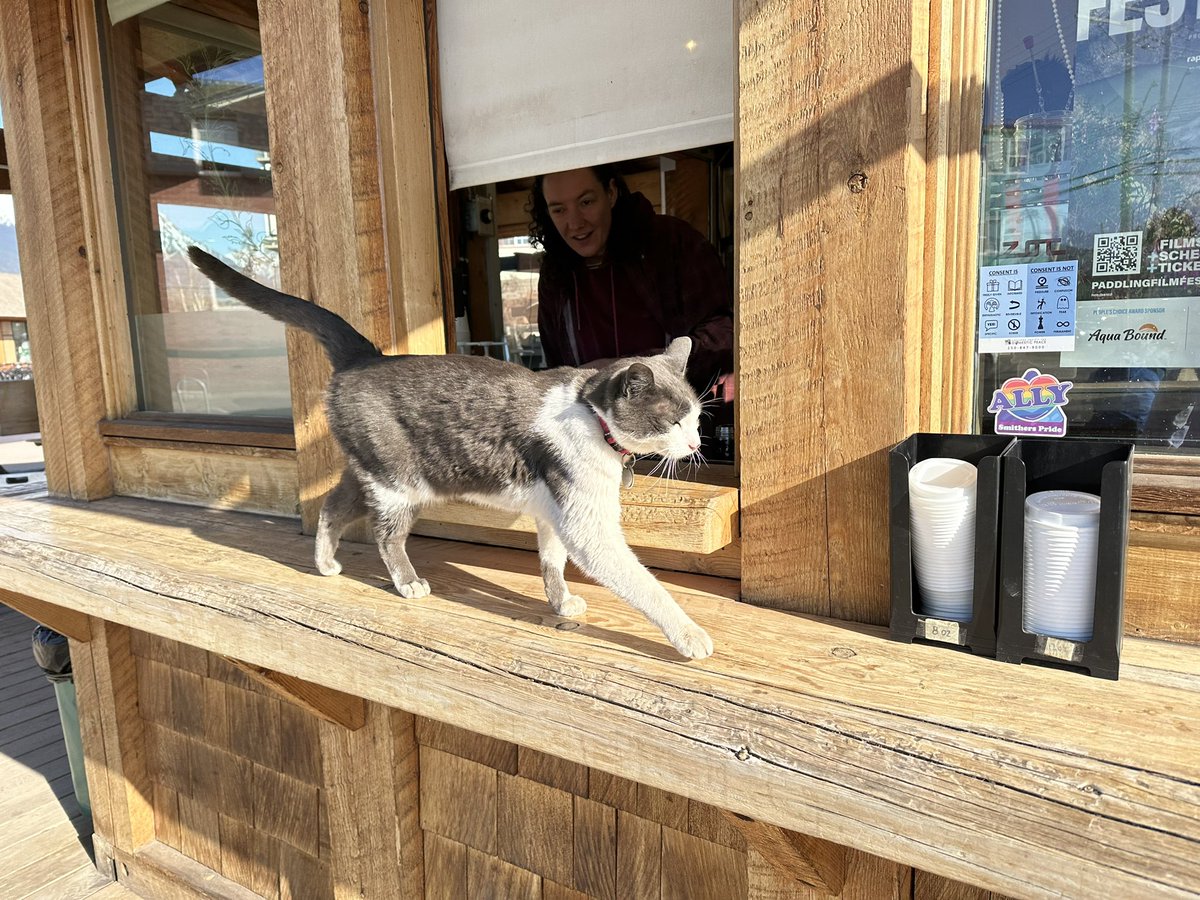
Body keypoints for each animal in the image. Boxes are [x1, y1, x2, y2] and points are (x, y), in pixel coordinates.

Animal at [187, 250, 710, 657]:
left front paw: (560, 603)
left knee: (331, 506)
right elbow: (641, 583)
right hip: (398, 483)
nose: (696, 444)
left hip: (368, 467)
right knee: (385, 536)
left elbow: (551, 562)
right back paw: (407, 582)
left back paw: (326, 563)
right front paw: (689, 634)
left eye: (698, 418)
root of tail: (364, 357)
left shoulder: (553, 512)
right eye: (674, 421)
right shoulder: (587, 523)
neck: (592, 417)